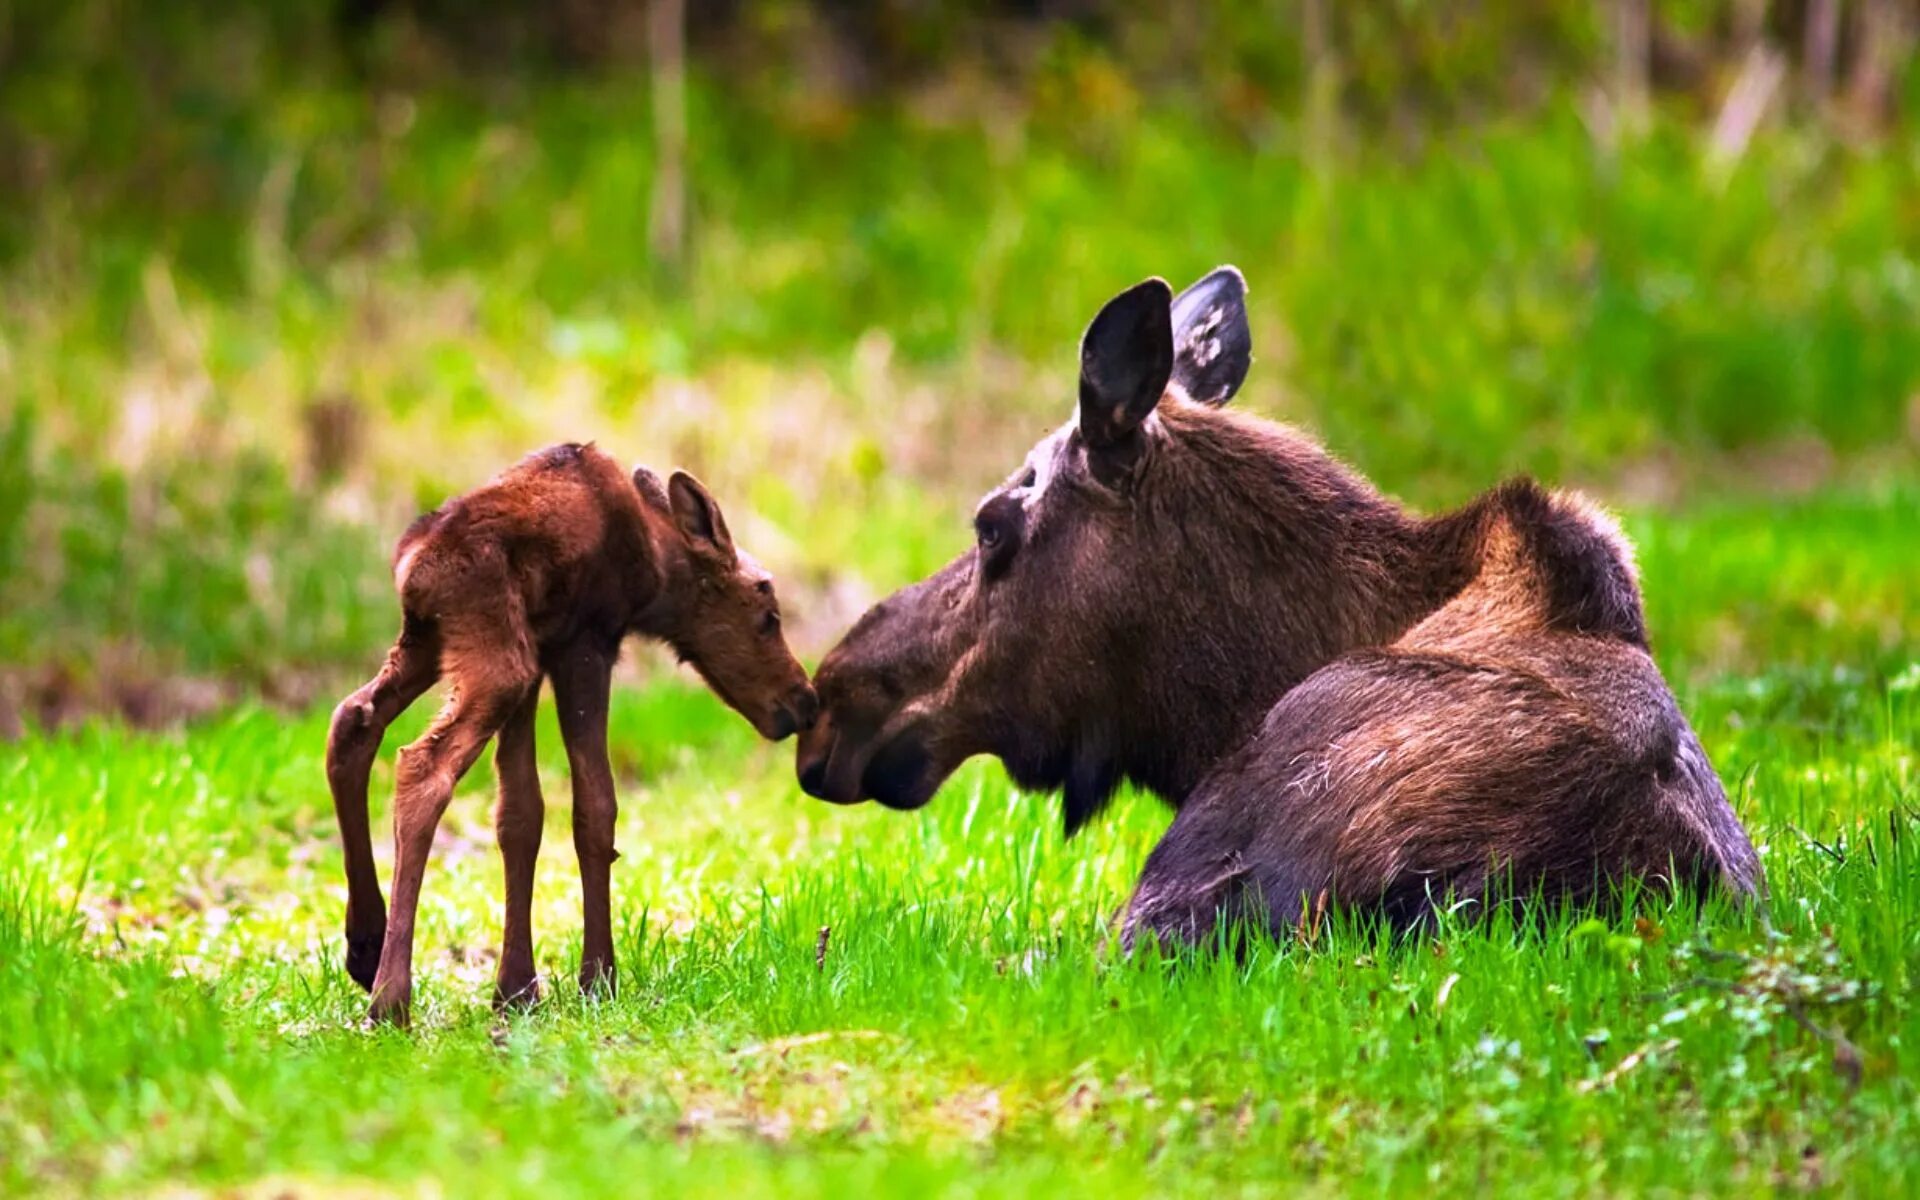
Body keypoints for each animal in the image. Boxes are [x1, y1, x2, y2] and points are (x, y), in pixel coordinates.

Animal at [330, 445, 810, 1021]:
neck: (655, 571)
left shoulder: (540, 653)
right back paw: (390, 998)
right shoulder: (586, 642)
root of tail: (413, 569)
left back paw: (365, 946)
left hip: (435, 644)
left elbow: (520, 815)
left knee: (353, 718)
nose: (804, 700)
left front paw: (516, 989)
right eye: (767, 615)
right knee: (423, 765)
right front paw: (598, 977)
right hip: (497, 661)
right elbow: (595, 808)